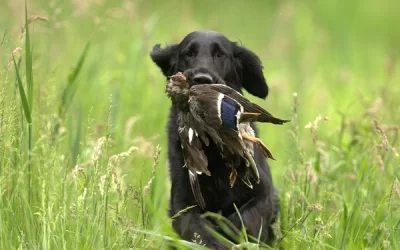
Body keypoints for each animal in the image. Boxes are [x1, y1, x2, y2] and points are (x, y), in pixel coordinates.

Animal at [150, 30, 278, 249]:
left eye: (220, 54)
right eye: (189, 53)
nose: (202, 79)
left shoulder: (263, 193)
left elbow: (244, 220)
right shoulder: (182, 203)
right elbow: (198, 230)